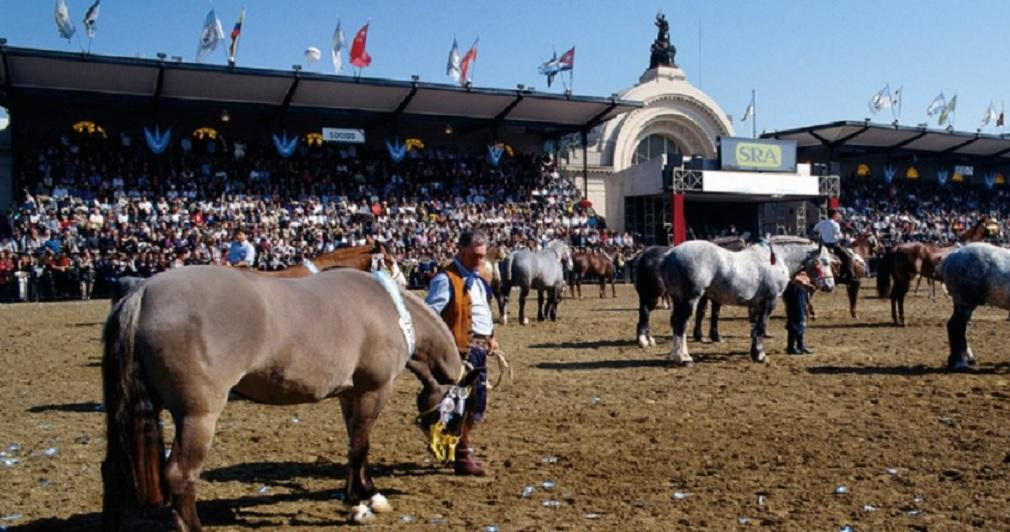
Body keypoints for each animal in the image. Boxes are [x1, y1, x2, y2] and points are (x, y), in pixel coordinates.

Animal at [100, 268, 470, 528]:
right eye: (458, 412)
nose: (450, 454)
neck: (389, 309)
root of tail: (143, 292)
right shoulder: (373, 389)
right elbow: (361, 444)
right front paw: (364, 498)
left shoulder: (349, 394)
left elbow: (354, 443)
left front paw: (360, 499)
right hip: (198, 417)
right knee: (180, 475)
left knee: (114, 469)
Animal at [658, 239, 832, 363]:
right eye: (824, 261)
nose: (830, 286)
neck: (776, 261)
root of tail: (669, 255)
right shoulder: (769, 302)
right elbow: (761, 327)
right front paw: (761, 356)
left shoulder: (756, 305)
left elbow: (755, 329)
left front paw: (755, 352)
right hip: (689, 300)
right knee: (682, 324)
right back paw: (683, 357)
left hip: (678, 299)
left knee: (676, 323)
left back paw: (676, 356)